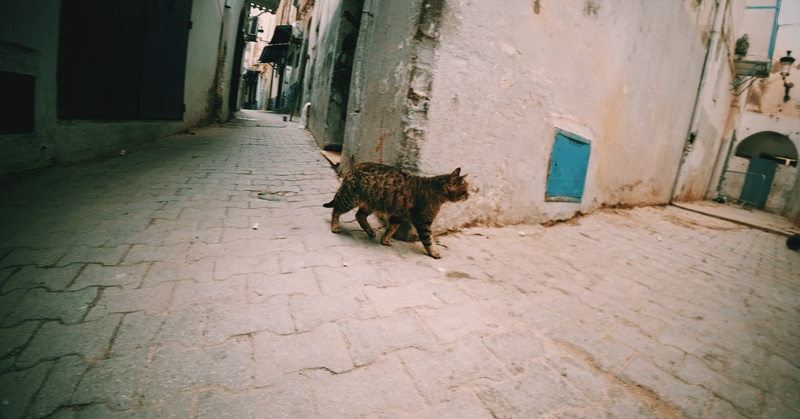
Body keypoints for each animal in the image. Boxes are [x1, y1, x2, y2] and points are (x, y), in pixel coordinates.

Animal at [324, 162, 472, 258]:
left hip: (371, 203)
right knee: (336, 209)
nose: (469, 195)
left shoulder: (398, 214)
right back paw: (335, 226)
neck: (436, 191)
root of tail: (355, 167)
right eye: (465, 190)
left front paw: (385, 240)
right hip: (350, 199)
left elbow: (392, 228)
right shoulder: (424, 222)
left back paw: (370, 231)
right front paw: (434, 253)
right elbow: (428, 240)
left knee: (359, 215)